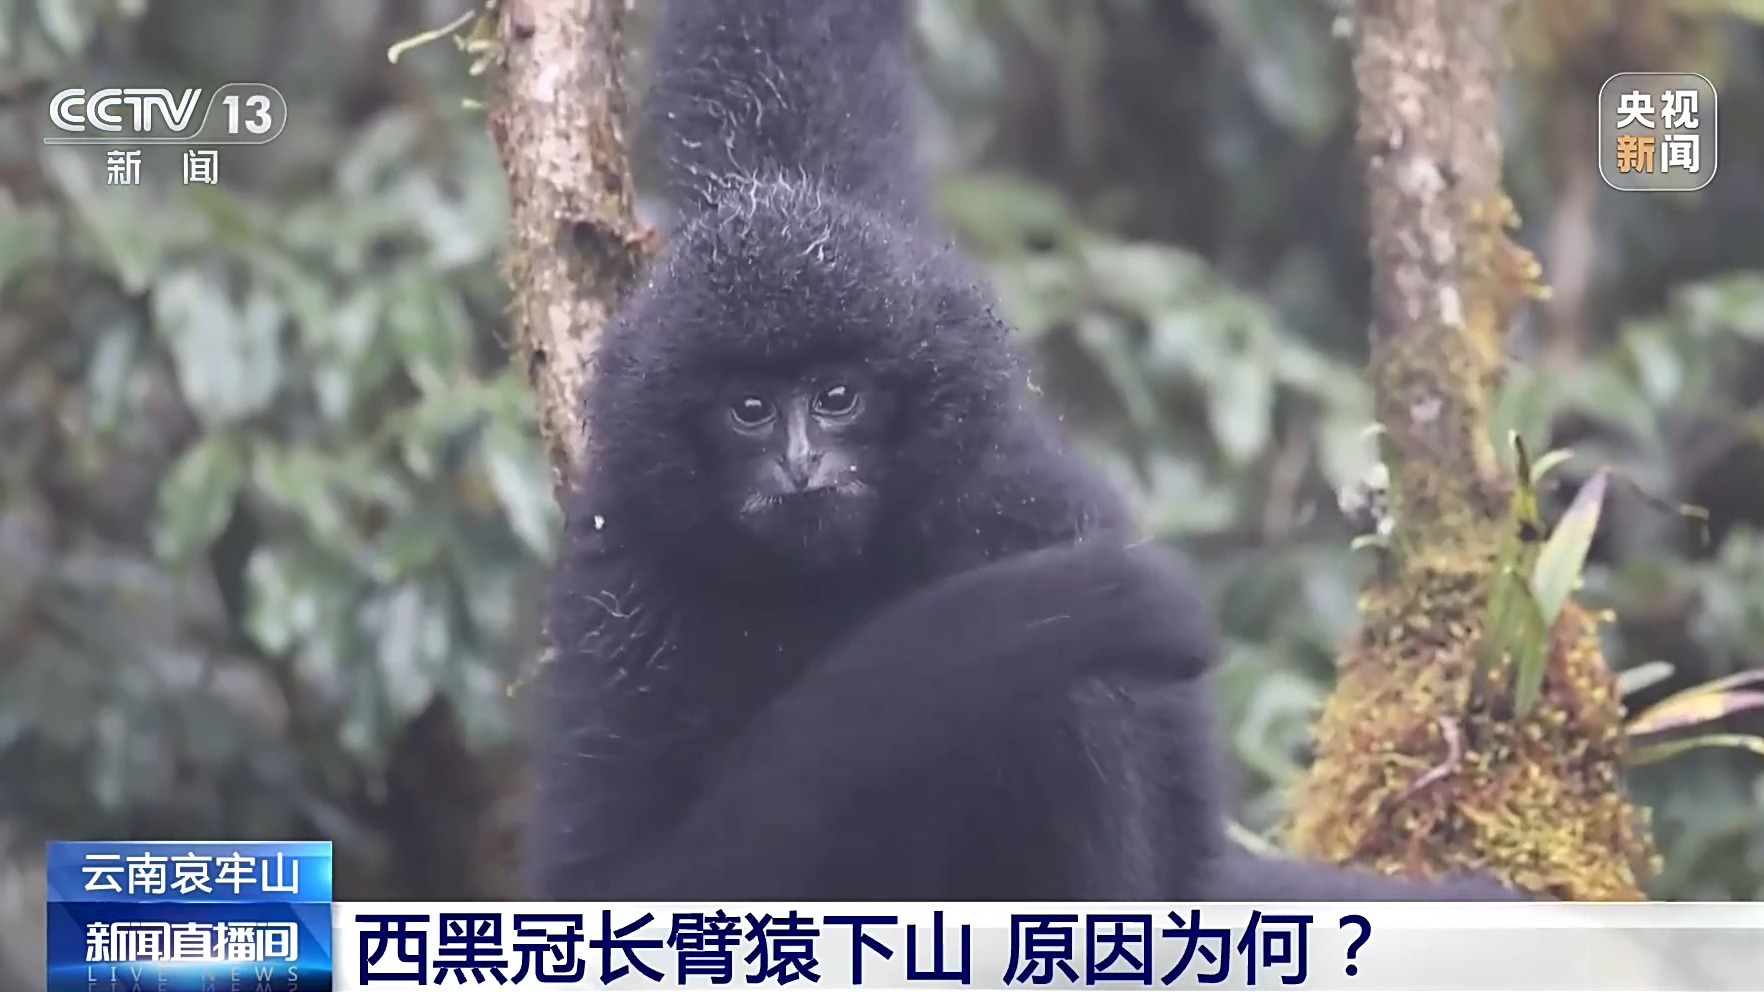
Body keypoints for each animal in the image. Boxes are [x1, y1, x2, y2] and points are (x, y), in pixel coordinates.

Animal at [523, 0, 1525, 904]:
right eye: (751, 410)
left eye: (837, 397)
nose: (800, 462)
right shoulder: (627, 582)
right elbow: (621, 879)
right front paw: (1093, 600)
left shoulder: (1015, 489)